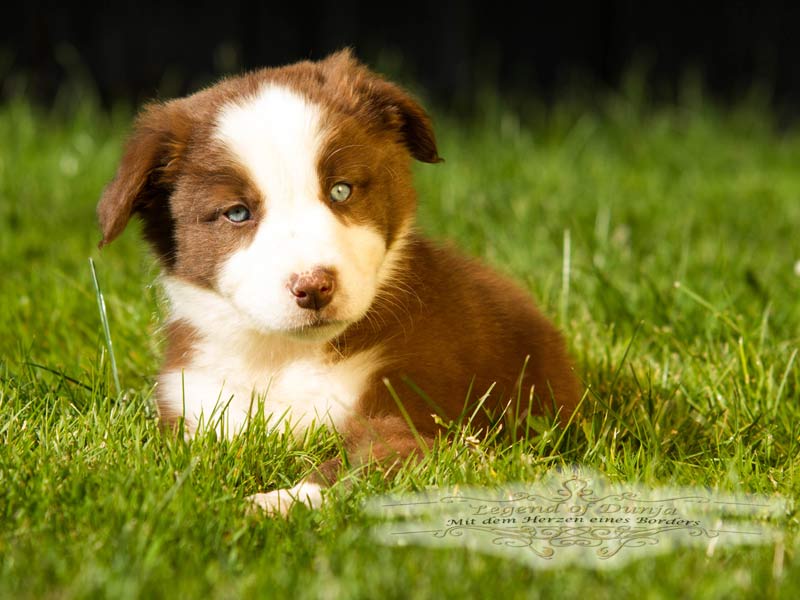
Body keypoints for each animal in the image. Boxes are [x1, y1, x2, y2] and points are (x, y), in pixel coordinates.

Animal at [97, 49, 580, 512]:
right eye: (237, 213)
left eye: (341, 191)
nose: (314, 287)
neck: (285, 357)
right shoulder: (196, 400)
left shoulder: (419, 410)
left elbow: (358, 461)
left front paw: (276, 502)